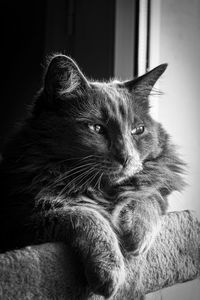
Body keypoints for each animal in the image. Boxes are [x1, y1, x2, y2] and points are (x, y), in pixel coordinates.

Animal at [0, 54, 185, 298]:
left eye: (138, 130)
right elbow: (85, 215)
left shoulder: (155, 186)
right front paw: (110, 271)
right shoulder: (21, 219)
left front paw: (136, 236)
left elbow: (147, 195)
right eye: (96, 128)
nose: (126, 157)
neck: (100, 190)